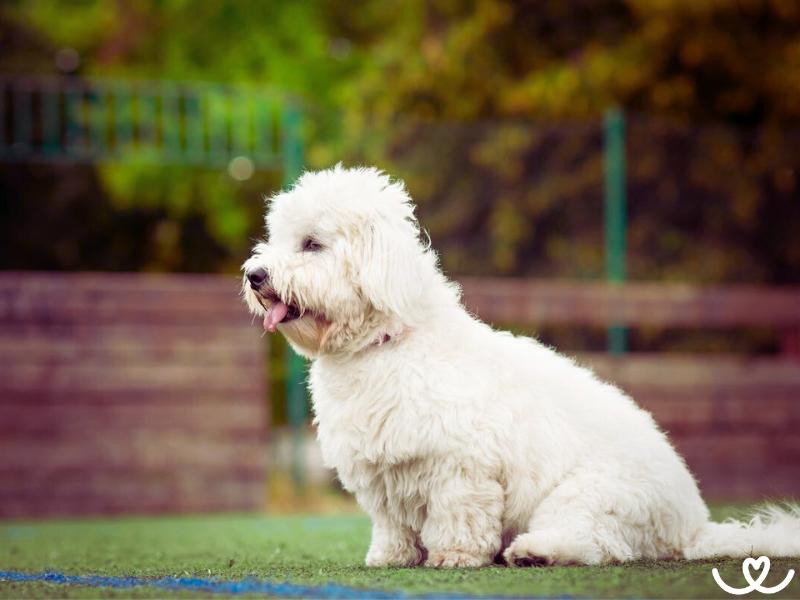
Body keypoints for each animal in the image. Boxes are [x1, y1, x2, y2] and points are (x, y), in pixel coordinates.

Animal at [245, 164, 800, 568]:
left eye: (312, 244)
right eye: (276, 240)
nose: (254, 274)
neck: (385, 344)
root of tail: (693, 525)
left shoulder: (461, 466)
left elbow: (458, 515)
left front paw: (454, 556)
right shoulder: (384, 475)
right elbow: (392, 524)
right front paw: (389, 558)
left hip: (586, 496)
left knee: (597, 545)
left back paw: (535, 552)